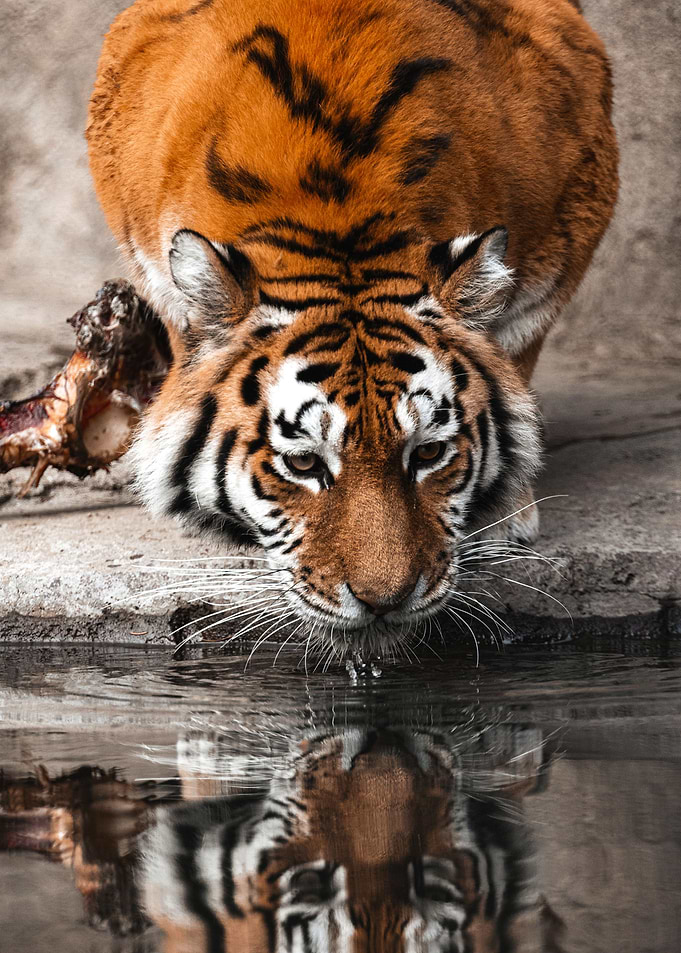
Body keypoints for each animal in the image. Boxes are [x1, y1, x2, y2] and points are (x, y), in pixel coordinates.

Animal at [86, 0, 618, 652]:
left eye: (429, 452)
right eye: (303, 465)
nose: (384, 602)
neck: (339, 220)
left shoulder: (564, 233)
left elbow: (515, 358)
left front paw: (503, 511)